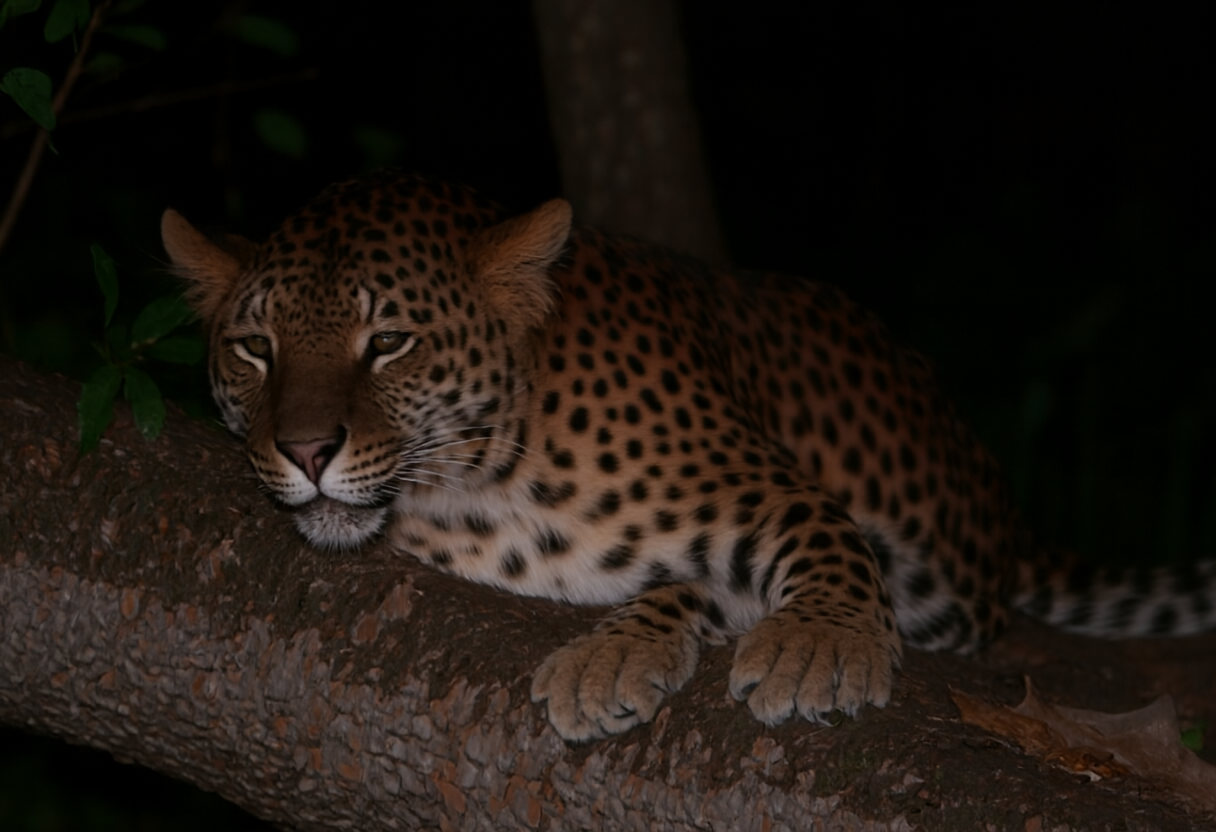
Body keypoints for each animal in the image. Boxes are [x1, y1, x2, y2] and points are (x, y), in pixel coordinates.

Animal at [162, 170, 1216, 741]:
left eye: (388, 343)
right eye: (255, 348)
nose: (305, 450)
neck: (482, 486)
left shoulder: (771, 491)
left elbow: (815, 549)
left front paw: (816, 645)